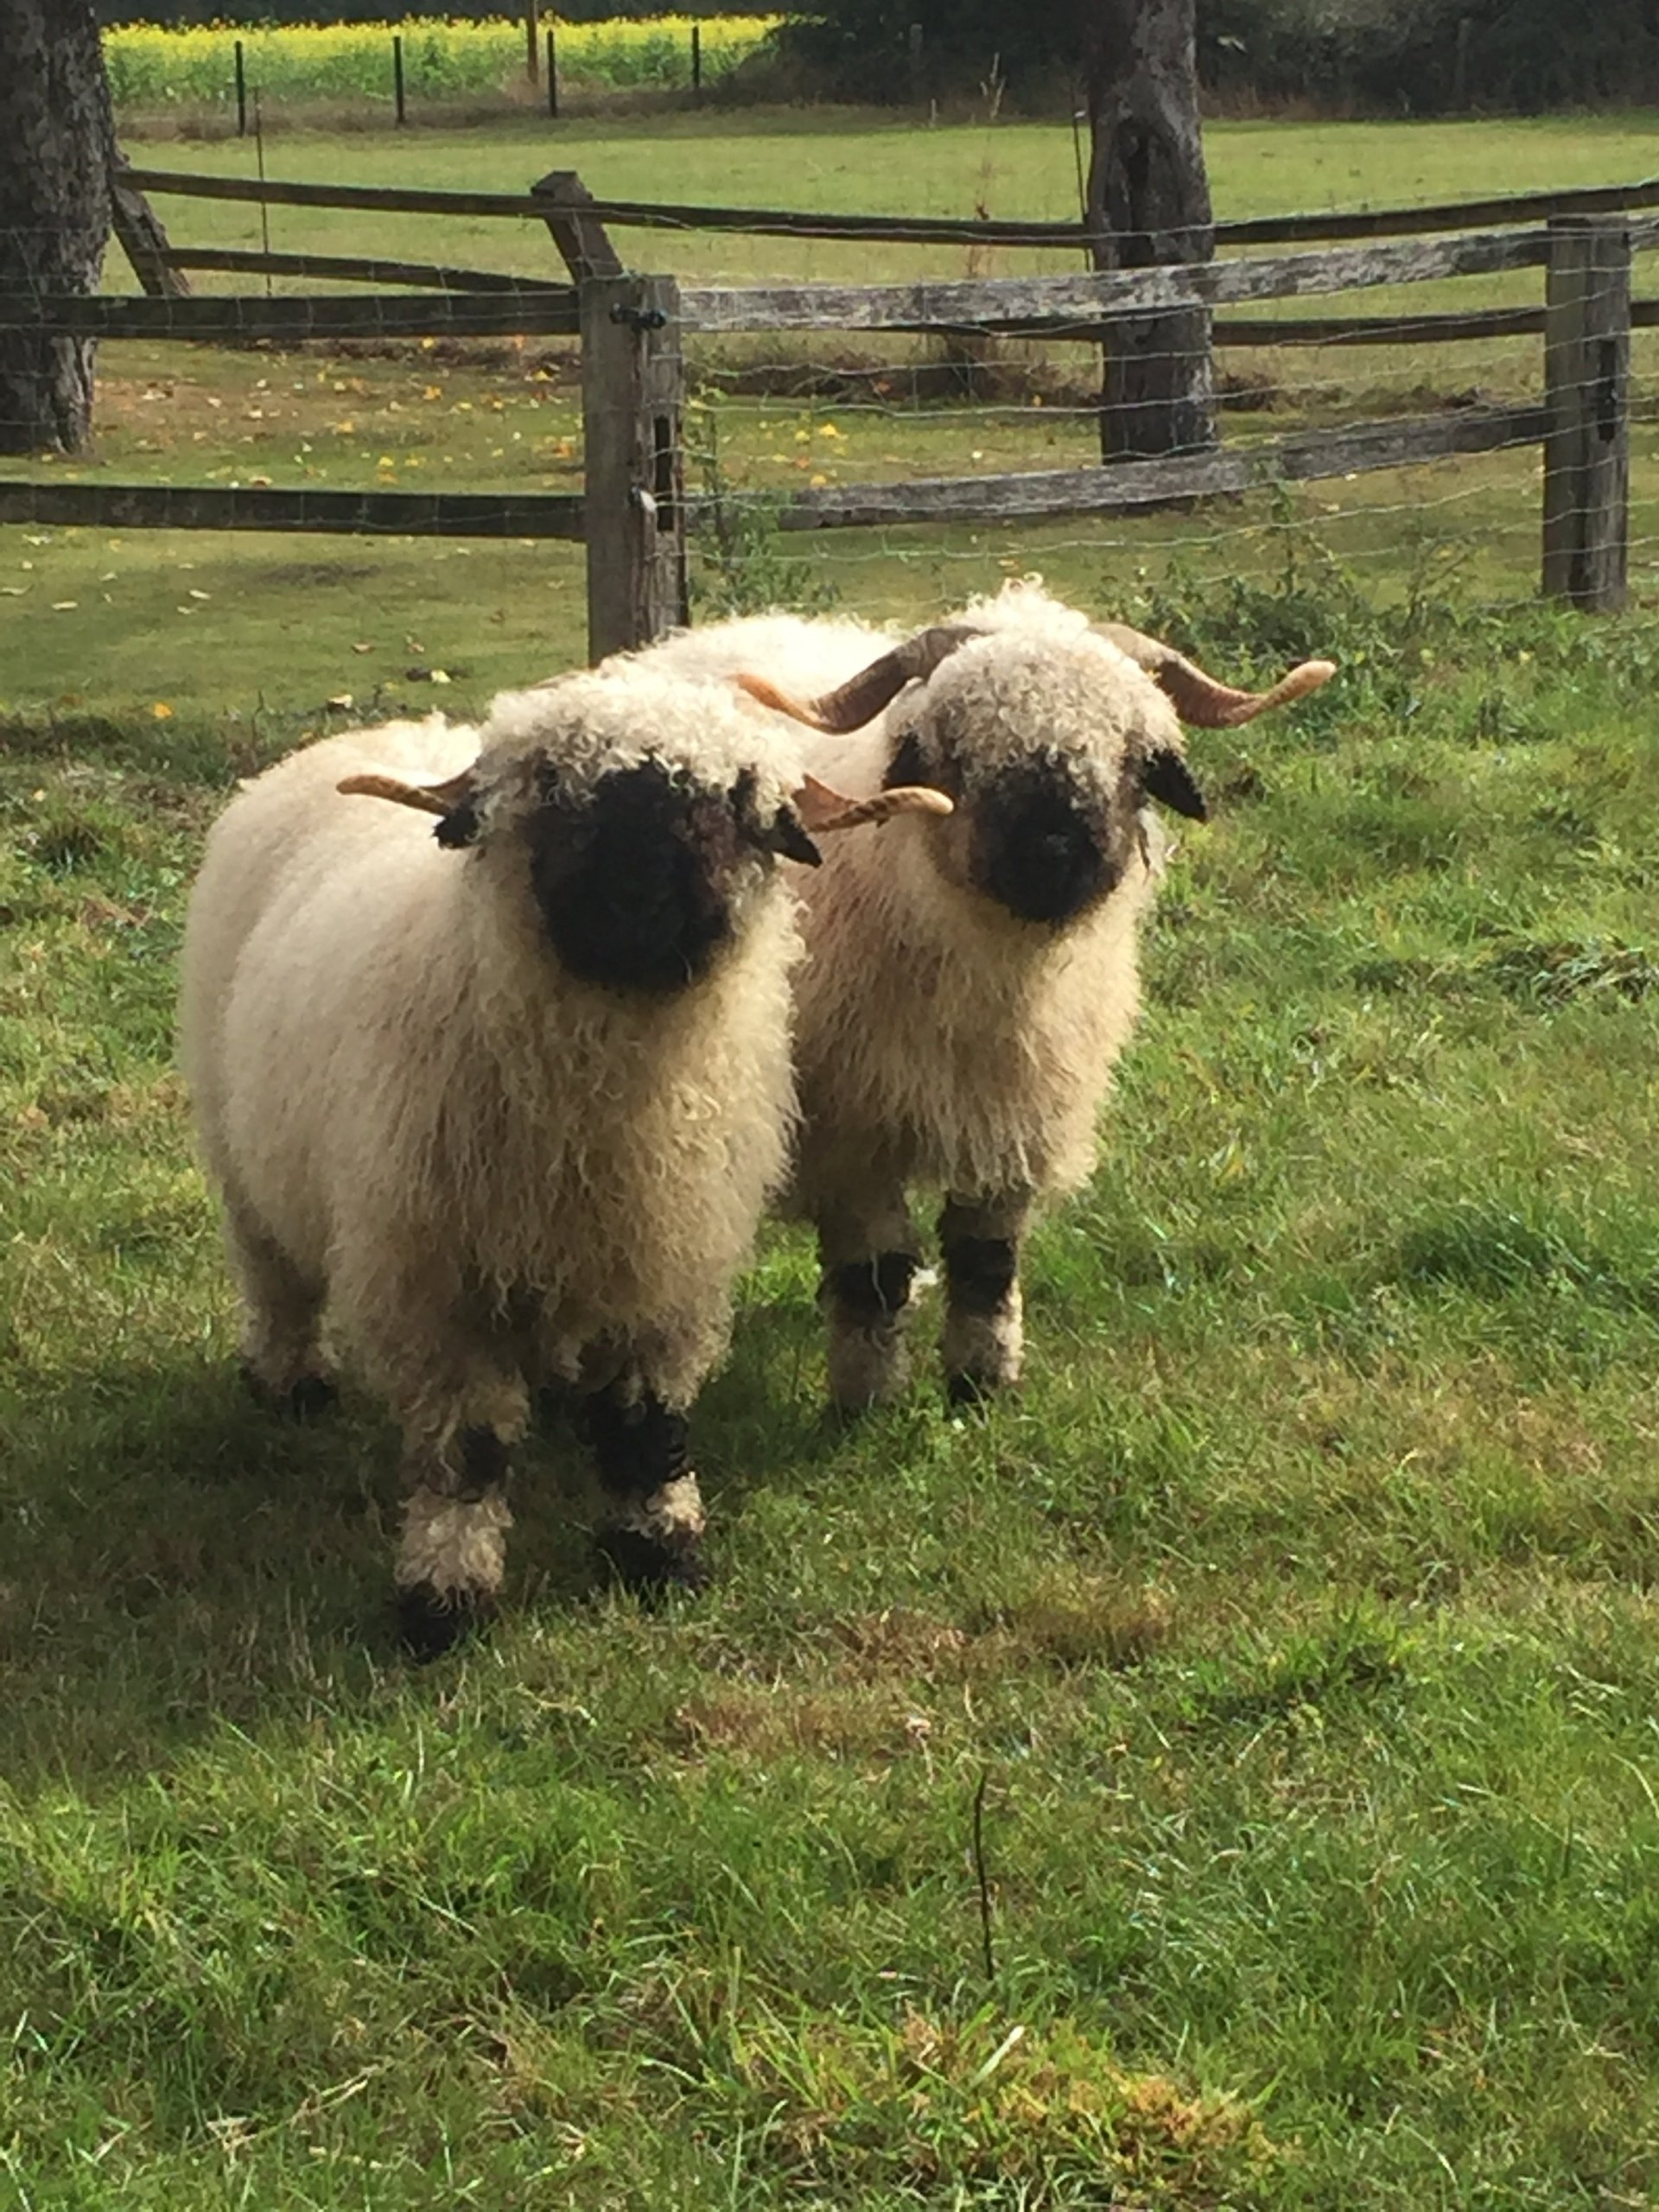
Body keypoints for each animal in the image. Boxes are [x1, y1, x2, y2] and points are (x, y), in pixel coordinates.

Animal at [180, 672, 946, 1663]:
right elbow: (465, 1452)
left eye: (739, 800)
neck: (603, 1105)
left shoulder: (665, 1267)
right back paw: (290, 1383)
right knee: (275, 1278)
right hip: (243, 1156)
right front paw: (444, 1599)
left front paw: (658, 1553)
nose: (638, 900)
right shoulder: (443, 1290)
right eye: (551, 787)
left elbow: (646, 1428)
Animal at [641, 588, 1336, 1407]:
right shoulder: (850, 1138)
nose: (1054, 851)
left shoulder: (1014, 1117)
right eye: (959, 749)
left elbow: (985, 1259)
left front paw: (981, 1382)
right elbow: (873, 1274)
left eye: (1133, 754)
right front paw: (867, 1398)